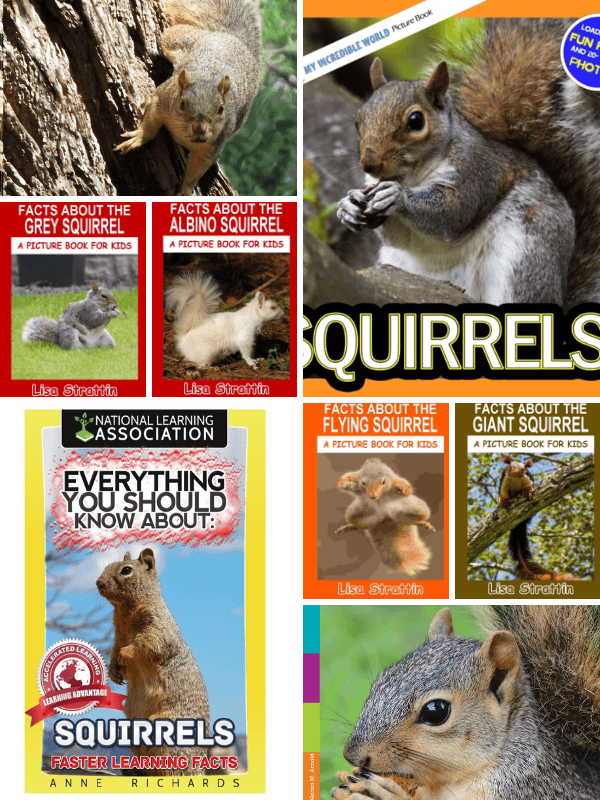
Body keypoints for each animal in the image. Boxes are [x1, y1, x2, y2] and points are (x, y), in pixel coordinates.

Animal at [96, 549, 210, 777]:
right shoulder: (118, 635)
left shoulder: (159, 627)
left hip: (167, 735)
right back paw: (134, 770)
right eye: (107, 566)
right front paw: (113, 670)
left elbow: (148, 644)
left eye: (126, 570)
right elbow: (113, 650)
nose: (98, 583)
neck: (125, 614)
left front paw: (126, 654)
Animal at [115, 0, 261, 195]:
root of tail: (231, 37)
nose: (199, 128)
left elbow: (197, 170)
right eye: (182, 104)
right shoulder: (163, 97)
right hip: (176, 39)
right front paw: (140, 136)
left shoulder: (212, 147)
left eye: (221, 109)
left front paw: (186, 190)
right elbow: (151, 122)